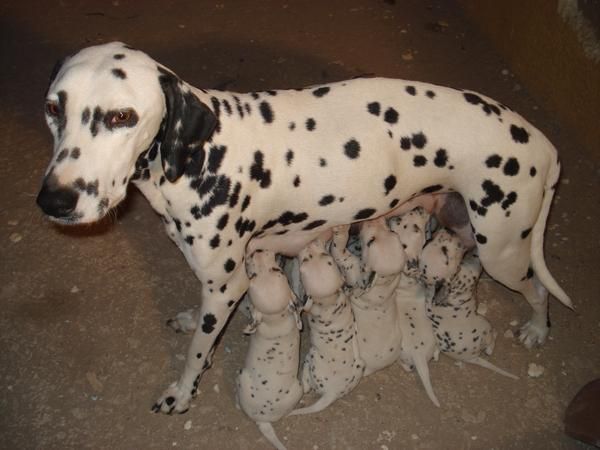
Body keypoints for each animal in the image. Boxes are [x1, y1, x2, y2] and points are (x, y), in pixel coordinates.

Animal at [36, 43, 572, 414]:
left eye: (121, 116)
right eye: (53, 107)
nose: (54, 200)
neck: (203, 155)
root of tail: (543, 143)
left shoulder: (228, 283)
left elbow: (195, 354)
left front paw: (181, 394)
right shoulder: (224, 280)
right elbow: (203, 320)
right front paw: (191, 319)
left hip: (505, 253)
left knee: (539, 291)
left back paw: (538, 329)